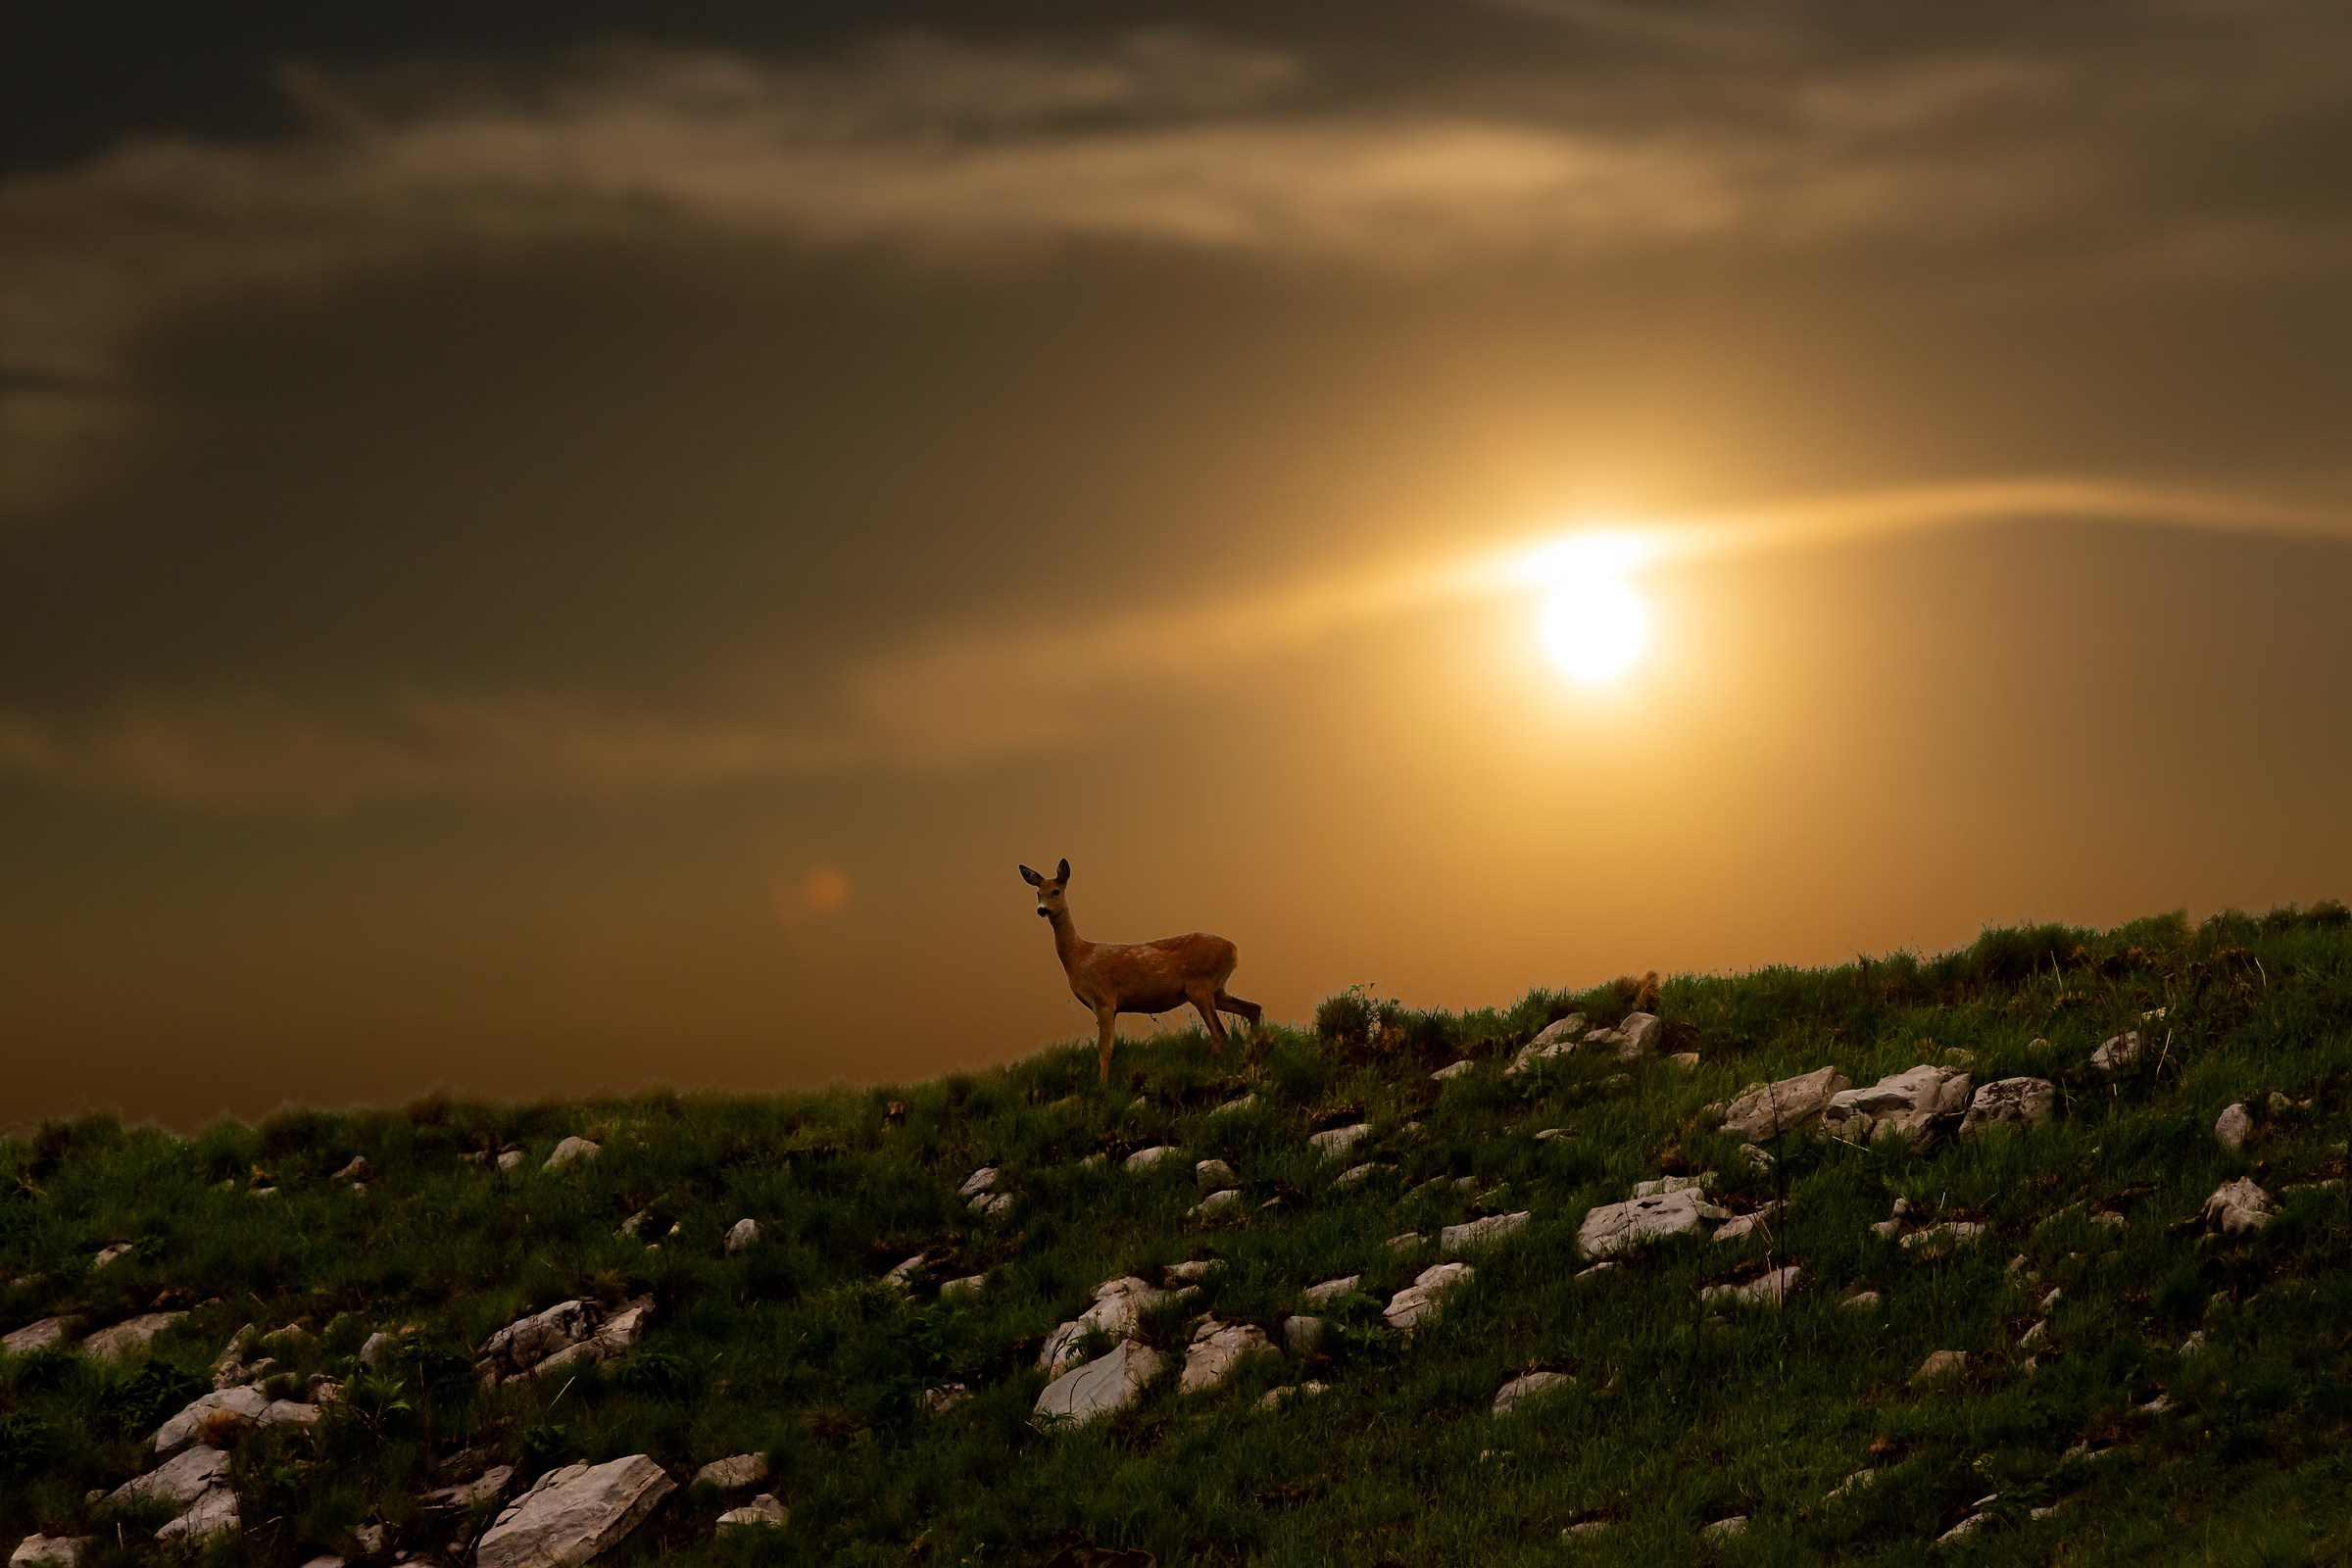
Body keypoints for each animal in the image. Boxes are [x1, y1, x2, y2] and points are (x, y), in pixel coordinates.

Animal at [1019, 858, 1263, 1085]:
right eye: (1038, 893)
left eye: (1056, 891)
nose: (1042, 909)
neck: (1079, 956)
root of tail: (1234, 949)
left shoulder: (1104, 1000)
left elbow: (1105, 1049)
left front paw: (1102, 1086)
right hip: (1217, 989)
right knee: (1253, 1009)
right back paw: (1254, 1061)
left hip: (1200, 986)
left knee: (1220, 1033)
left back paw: (1211, 1071)